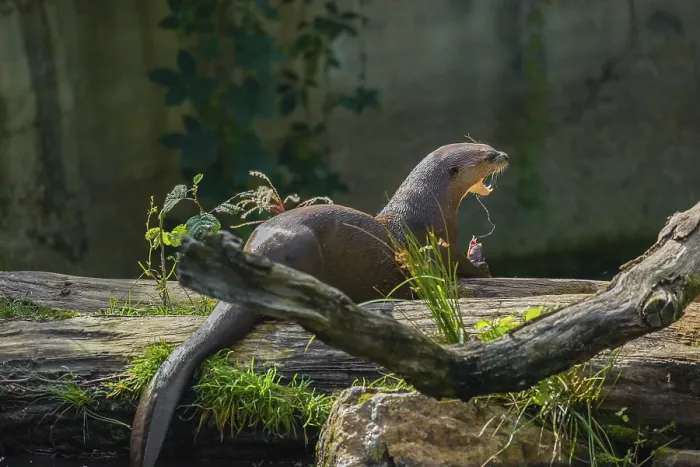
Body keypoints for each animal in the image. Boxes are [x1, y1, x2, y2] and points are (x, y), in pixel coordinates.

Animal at [130, 142, 509, 467]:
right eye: (487, 155)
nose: (504, 155)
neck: (426, 212)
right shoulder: (438, 248)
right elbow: (459, 271)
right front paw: (481, 263)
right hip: (301, 246)